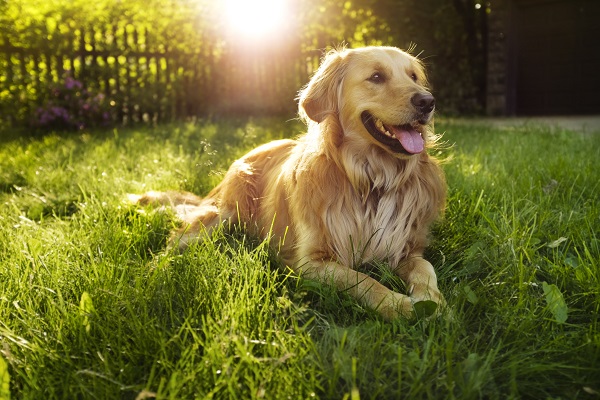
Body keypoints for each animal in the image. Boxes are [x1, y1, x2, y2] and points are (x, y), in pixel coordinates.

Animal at [135, 47, 446, 320]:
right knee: (173, 243)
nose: (427, 102)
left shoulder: (405, 247)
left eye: (413, 76)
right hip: (222, 215)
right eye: (377, 77)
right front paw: (399, 305)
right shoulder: (311, 262)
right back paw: (153, 275)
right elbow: (362, 280)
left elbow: (425, 267)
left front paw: (432, 300)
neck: (372, 180)